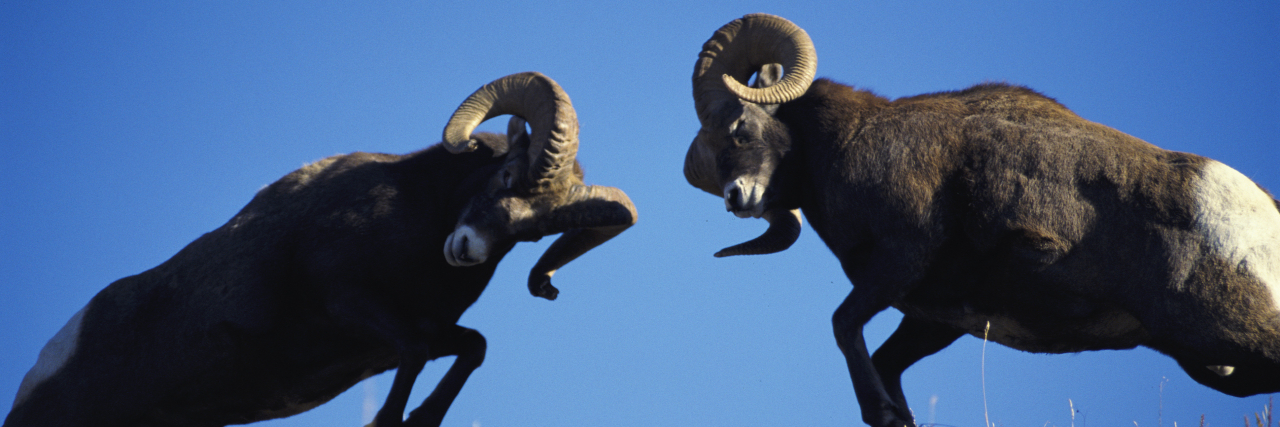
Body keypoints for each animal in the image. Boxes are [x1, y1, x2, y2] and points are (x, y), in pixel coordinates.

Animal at [4, 71, 637, 427]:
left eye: (533, 233)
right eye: (506, 174)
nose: (466, 250)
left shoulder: (409, 335)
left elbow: (472, 347)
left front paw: (417, 419)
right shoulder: (350, 304)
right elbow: (418, 352)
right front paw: (389, 422)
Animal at [683, 13, 1280, 427]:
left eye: (739, 129)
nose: (737, 198)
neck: (849, 144)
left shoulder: (898, 262)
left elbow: (844, 327)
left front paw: (885, 412)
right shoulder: (935, 319)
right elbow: (886, 362)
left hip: (1226, 330)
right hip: (1215, 364)